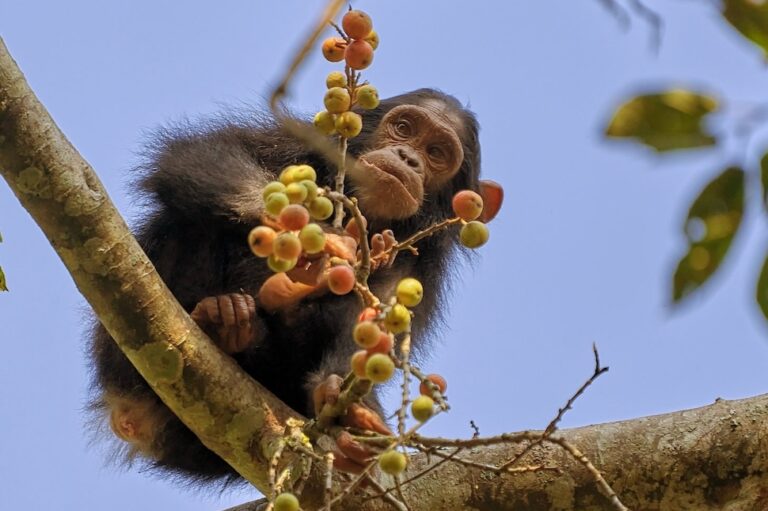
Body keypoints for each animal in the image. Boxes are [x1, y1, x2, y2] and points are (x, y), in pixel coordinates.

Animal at [90, 90, 504, 486]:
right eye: (404, 128)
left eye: (437, 153)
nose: (408, 157)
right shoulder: (297, 144)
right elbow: (196, 156)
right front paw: (318, 240)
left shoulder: (419, 265)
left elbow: (378, 319)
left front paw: (342, 397)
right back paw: (222, 314)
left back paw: (237, 323)